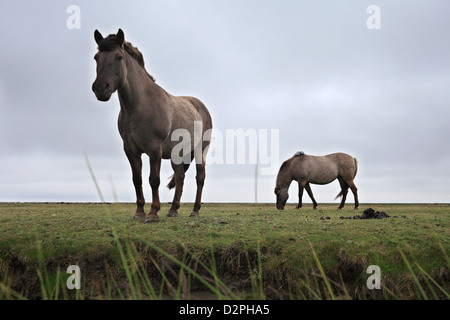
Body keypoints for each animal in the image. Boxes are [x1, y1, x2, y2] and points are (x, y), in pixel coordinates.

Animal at [91, 28, 213, 221]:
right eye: (96, 57)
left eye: (119, 57)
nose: (101, 88)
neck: (138, 106)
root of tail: (200, 105)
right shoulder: (130, 150)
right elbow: (137, 179)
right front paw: (139, 211)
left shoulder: (154, 149)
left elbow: (153, 179)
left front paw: (153, 213)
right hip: (177, 154)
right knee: (180, 177)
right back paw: (173, 210)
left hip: (201, 150)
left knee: (199, 177)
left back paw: (195, 210)